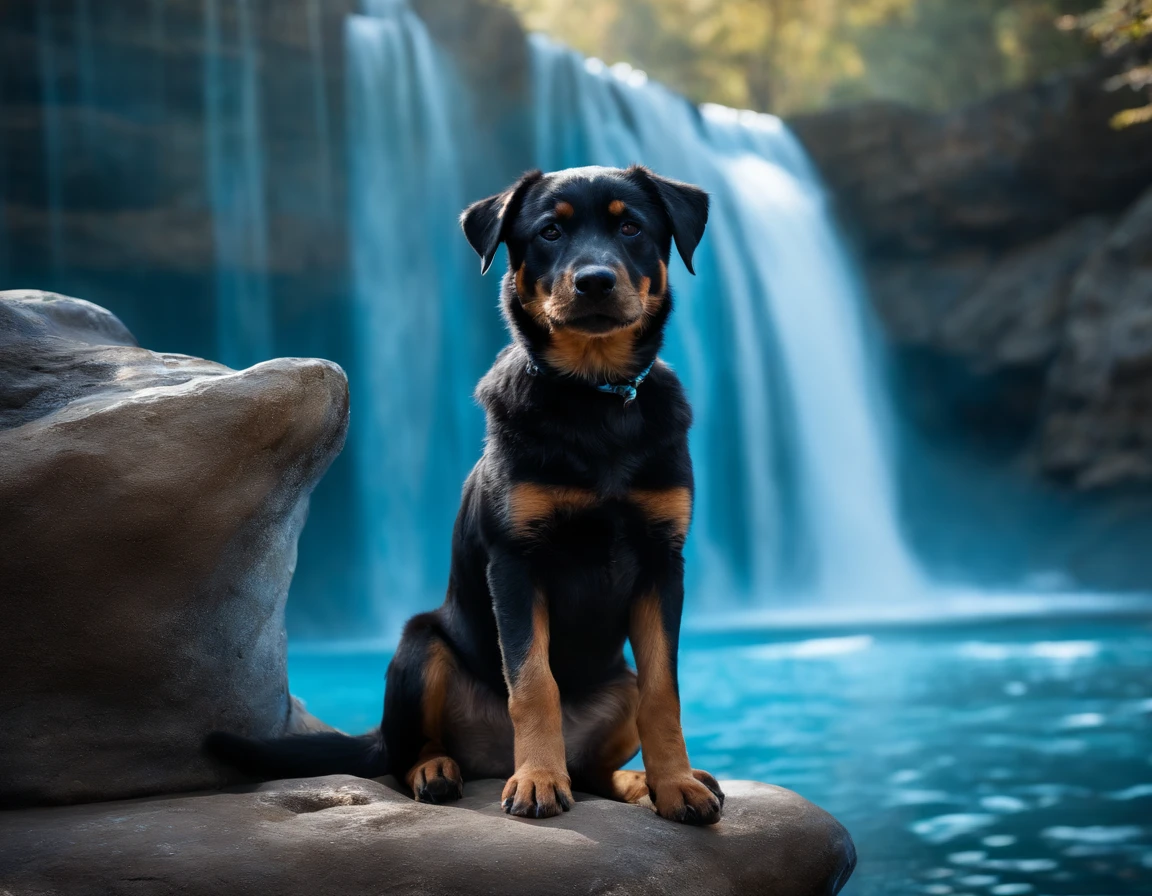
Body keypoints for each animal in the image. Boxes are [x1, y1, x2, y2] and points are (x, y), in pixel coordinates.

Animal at [207, 163, 723, 819]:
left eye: (631, 227)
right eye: (550, 231)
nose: (595, 281)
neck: (592, 398)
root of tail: (490, 756)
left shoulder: (663, 561)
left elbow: (664, 690)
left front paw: (675, 783)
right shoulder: (515, 560)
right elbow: (532, 680)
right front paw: (537, 779)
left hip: (617, 684)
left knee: (592, 769)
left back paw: (634, 783)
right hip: (419, 646)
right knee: (406, 754)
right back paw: (442, 770)